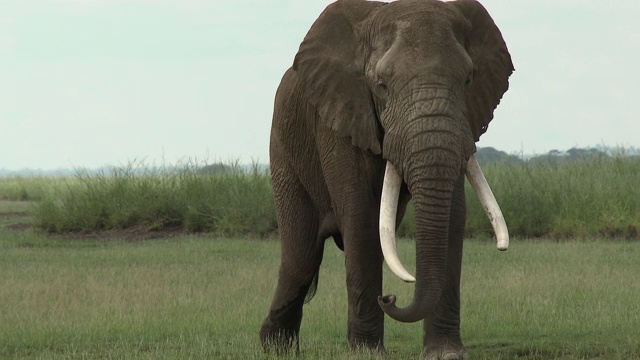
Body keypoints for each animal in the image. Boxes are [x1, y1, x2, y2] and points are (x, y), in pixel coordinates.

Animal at [258, 1, 512, 358]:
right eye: (381, 85)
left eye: (468, 80)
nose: (389, 297)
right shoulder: (340, 118)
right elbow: (361, 217)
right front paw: (366, 353)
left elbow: (452, 216)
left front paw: (445, 353)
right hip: (283, 151)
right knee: (301, 258)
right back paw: (275, 348)